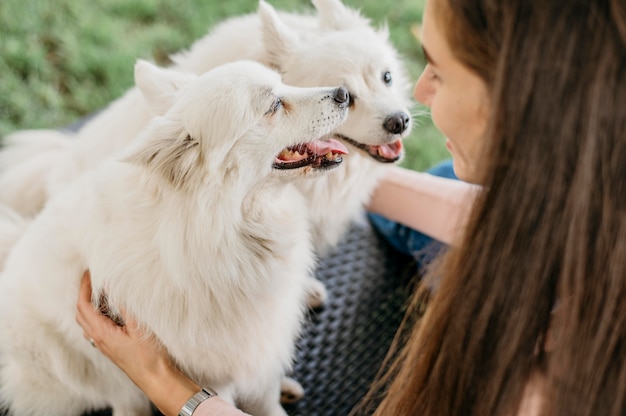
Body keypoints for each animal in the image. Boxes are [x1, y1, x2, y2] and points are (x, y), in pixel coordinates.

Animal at [0, 59, 348, 416]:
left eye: (285, 83)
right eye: (274, 105)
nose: (344, 94)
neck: (228, 232)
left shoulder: (261, 345)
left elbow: (266, 397)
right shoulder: (216, 370)